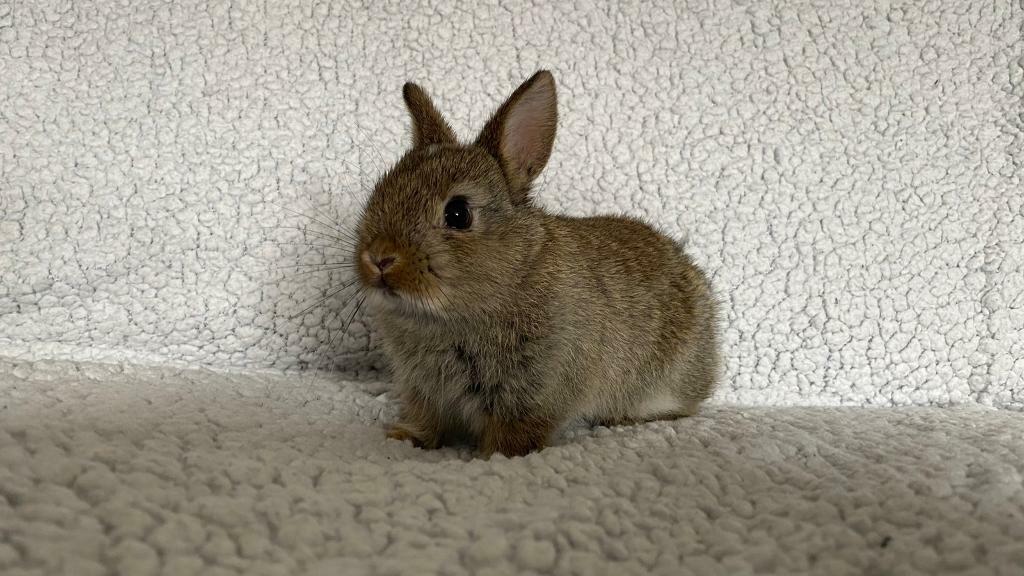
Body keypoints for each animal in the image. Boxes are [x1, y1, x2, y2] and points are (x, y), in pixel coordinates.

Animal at [354, 70, 720, 457]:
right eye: (380, 192)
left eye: (458, 214)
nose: (379, 257)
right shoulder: (423, 388)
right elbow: (427, 419)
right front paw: (405, 437)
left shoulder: (533, 392)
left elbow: (515, 435)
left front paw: (493, 457)